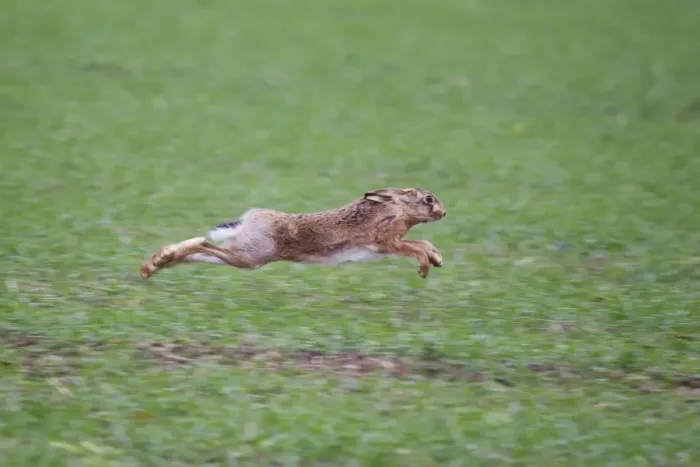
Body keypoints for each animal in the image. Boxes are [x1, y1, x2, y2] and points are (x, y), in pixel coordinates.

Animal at [139, 187, 447, 280]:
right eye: (428, 199)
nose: (444, 213)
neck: (399, 208)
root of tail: (247, 220)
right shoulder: (386, 241)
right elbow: (416, 246)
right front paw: (424, 269)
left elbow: (423, 242)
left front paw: (437, 259)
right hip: (251, 255)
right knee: (203, 243)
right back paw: (160, 260)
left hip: (245, 255)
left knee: (200, 253)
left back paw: (154, 264)